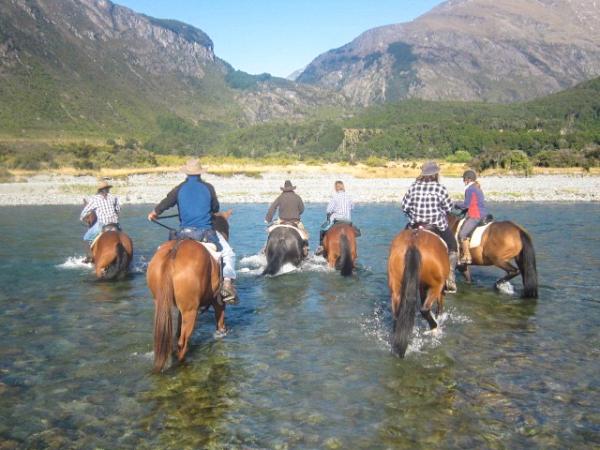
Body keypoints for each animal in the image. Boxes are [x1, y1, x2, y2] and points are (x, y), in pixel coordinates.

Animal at [146, 209, 233, 370]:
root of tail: (173, 253)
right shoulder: (218, 302)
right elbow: (220, 323)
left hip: (162, 304)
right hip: (190, 311)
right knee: (183, 342)